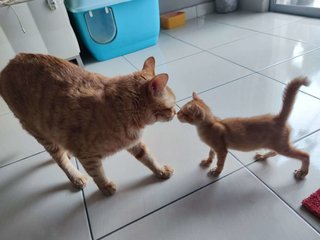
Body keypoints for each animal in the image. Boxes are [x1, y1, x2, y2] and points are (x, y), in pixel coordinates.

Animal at [0, 53, 176, 195]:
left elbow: (149, 158)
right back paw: (76, 177)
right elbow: (97, 173)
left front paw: (160, 171)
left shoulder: (135, 143)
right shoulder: (87, 156)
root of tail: (10, 63)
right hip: (42, 134)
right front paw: (105, 187)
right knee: (60, 160)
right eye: (171, 106)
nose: (175, 113)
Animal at [178, 78, 310, 179]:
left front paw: (216, 171)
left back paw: (302, 172)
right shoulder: (213, 147)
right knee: (273, 152)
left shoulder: (221, 149)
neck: (212, 123)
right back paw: (262, 156)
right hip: (274, 145)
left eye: (184, 113)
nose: (177, 113)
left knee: (305, 155)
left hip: (282, 147)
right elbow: (211, 154)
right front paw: (207, 162)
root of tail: (277, 118)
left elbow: (220, 162)